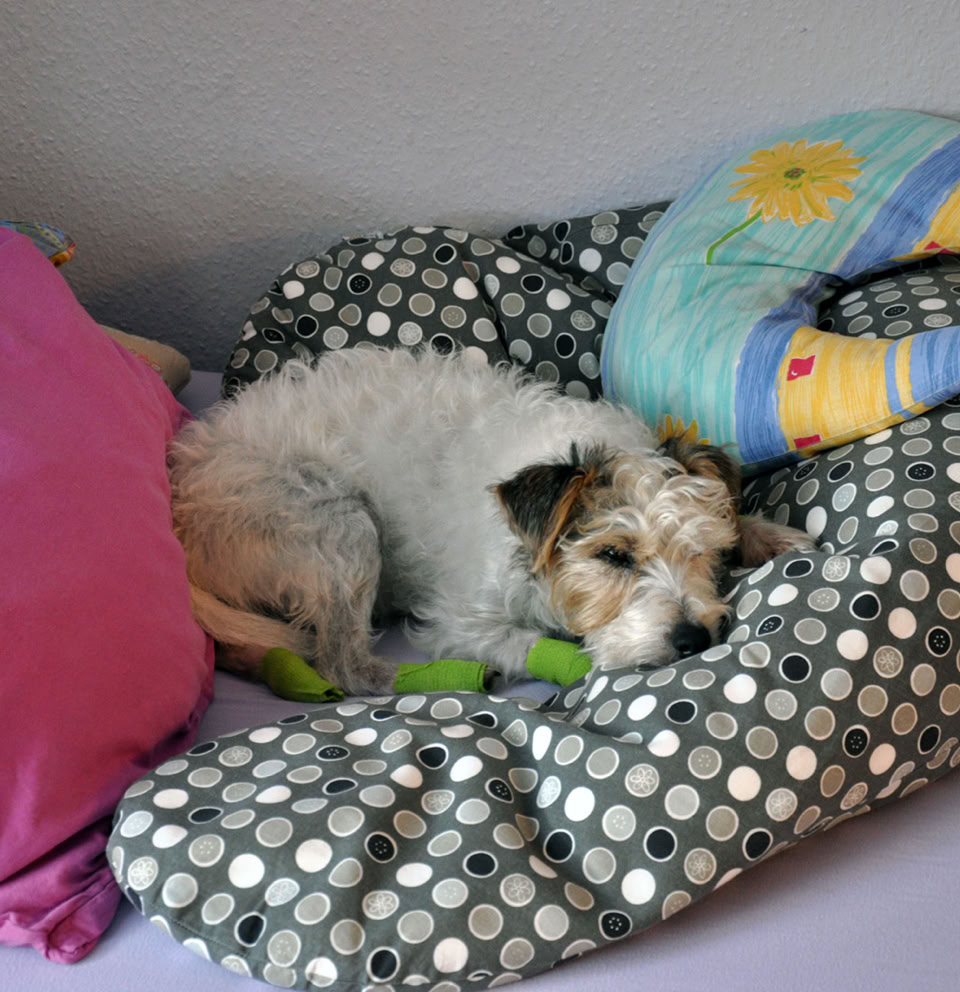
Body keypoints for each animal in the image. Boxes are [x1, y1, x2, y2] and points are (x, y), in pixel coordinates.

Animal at [169, 347, 814, 695]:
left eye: (705, 553)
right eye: (613, 555)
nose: (693, 640)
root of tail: (181, 502)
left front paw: (776, 535)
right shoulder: (456, 619)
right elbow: (531, 643)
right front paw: (574, 658)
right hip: (336, 519)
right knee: (342, 663)